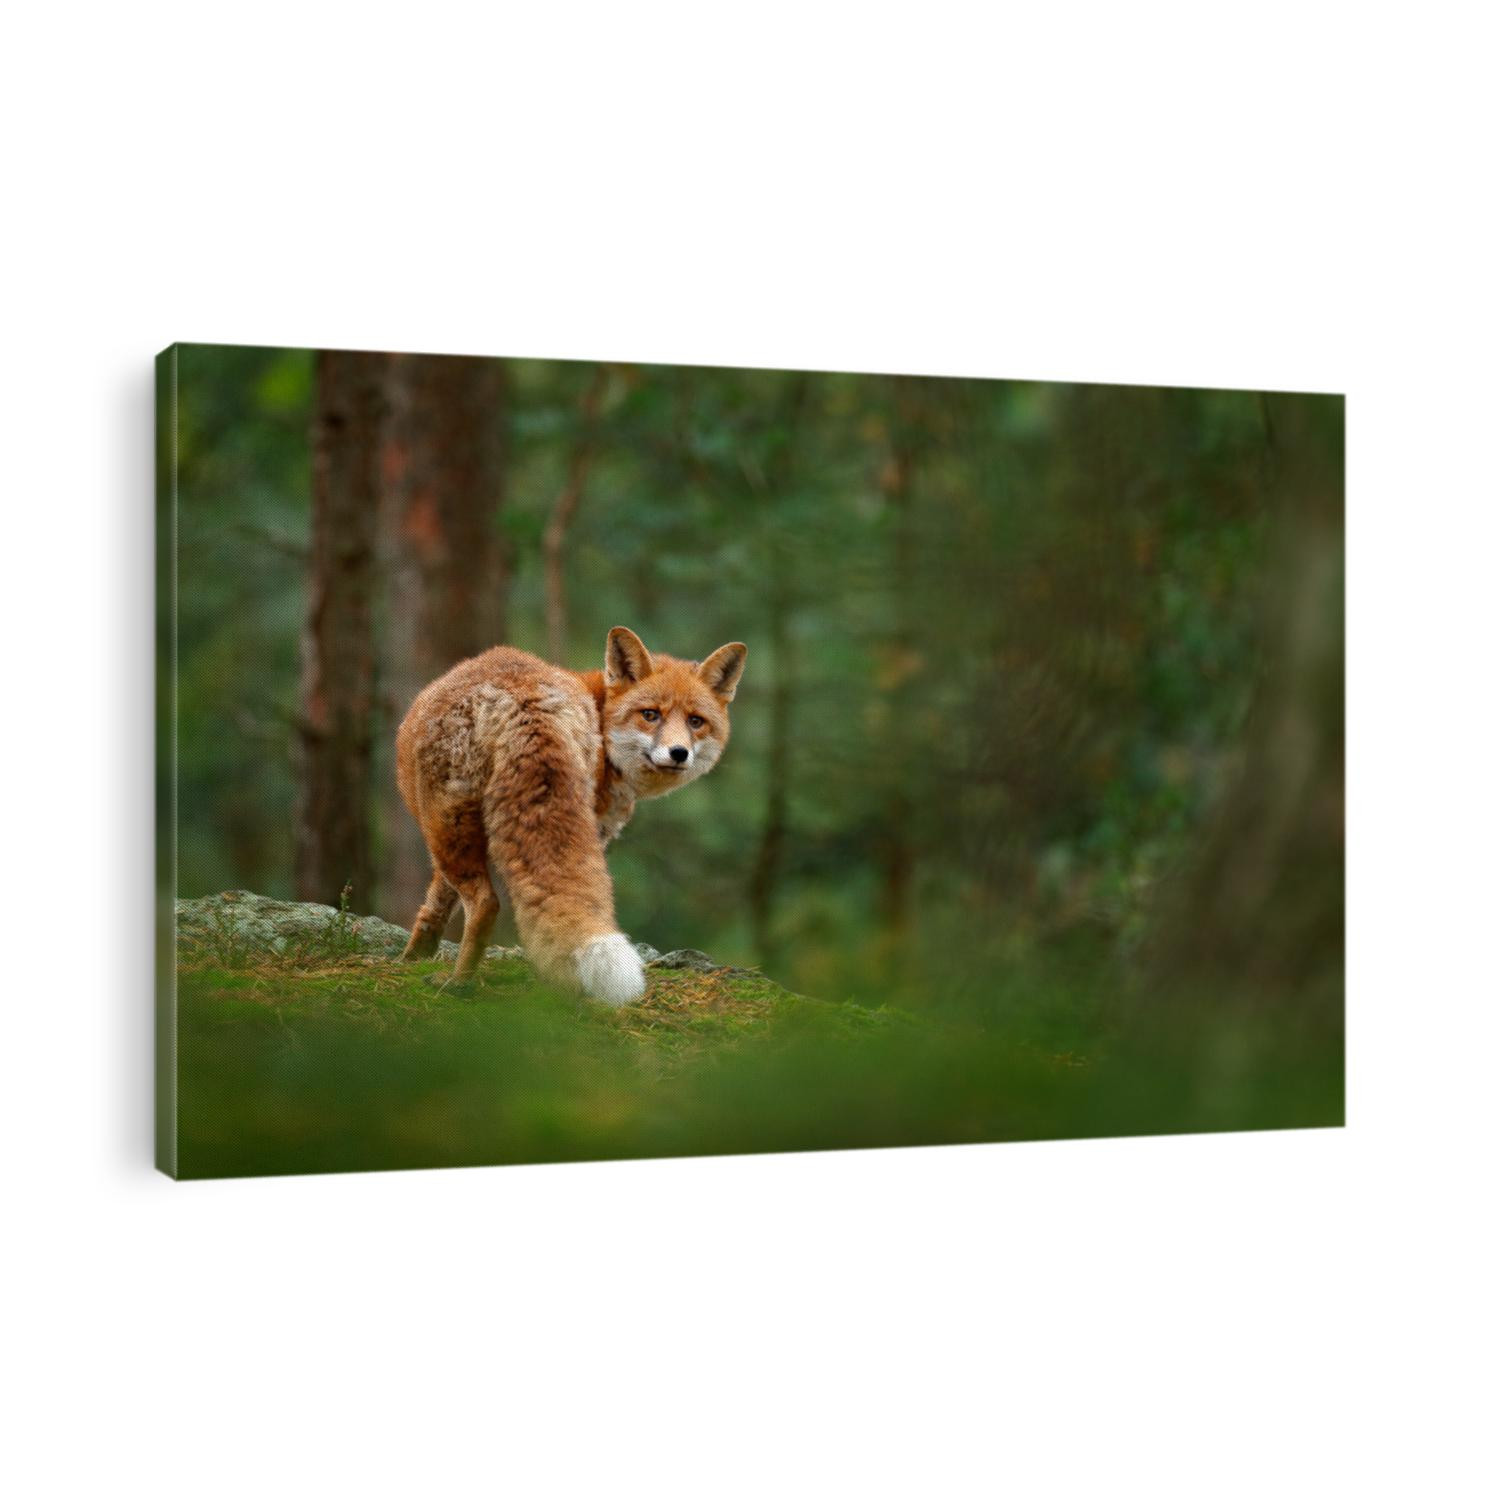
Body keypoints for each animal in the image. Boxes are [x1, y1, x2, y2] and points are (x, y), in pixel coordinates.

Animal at [394, 626, 747, 1005]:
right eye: (650, 714)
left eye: (696, 721)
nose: (678, 753)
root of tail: (525, 701)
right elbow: (437, 903)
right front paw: (414, 956)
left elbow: (435, 903)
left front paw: (412, 957)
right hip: (451, 825)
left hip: (444, 826)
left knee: (486, 904)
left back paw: (459, 983)